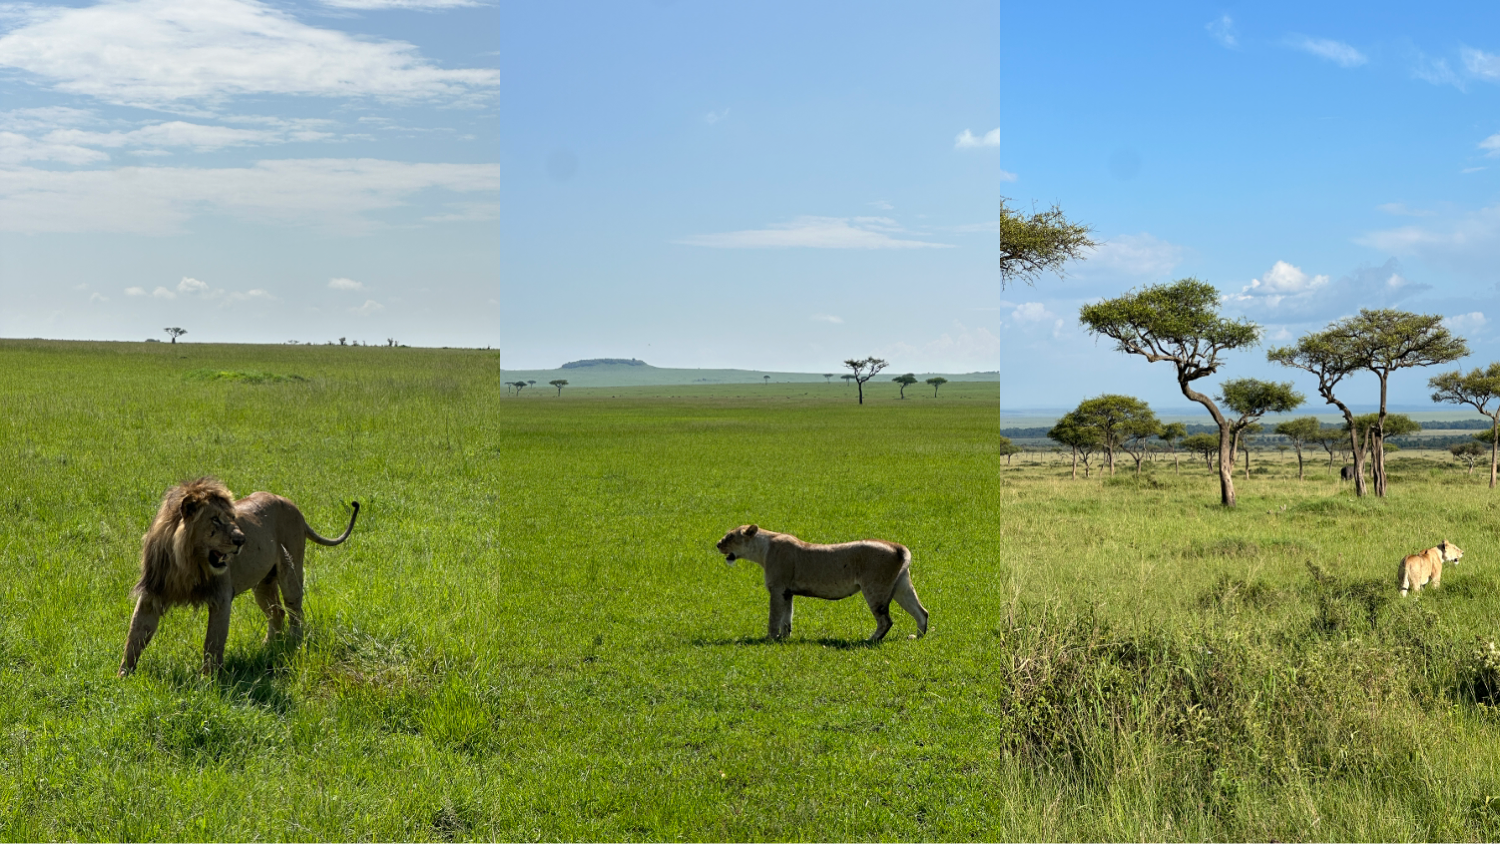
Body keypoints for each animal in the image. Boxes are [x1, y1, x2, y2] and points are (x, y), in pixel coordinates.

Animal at [118, 477, 359, 676]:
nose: (241, 540)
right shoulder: (152, 594)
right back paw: (268, 647)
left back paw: (294, 643)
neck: (188, 564)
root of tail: (289, 502)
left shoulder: (221, 598)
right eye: (215, 520)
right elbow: (135, 635)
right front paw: (124, 676)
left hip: (291, 568)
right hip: (263, 584)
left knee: (294, 610)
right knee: (277, 613)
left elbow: (212, 642)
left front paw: (208, 681)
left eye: (233, 518)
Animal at [716, 524, 928, 642]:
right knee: (922, 612)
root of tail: (897, 546)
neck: (762, 549)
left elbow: (774, 617)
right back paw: (917, 637)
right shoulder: (787, 592)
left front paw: (769, 639)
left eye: (731, 536)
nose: (717, 544)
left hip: (874, 588)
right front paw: (784, 639)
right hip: (901, 586)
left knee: (886, 621)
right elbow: (787, 618)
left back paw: (869, 640)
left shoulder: (777, 589)